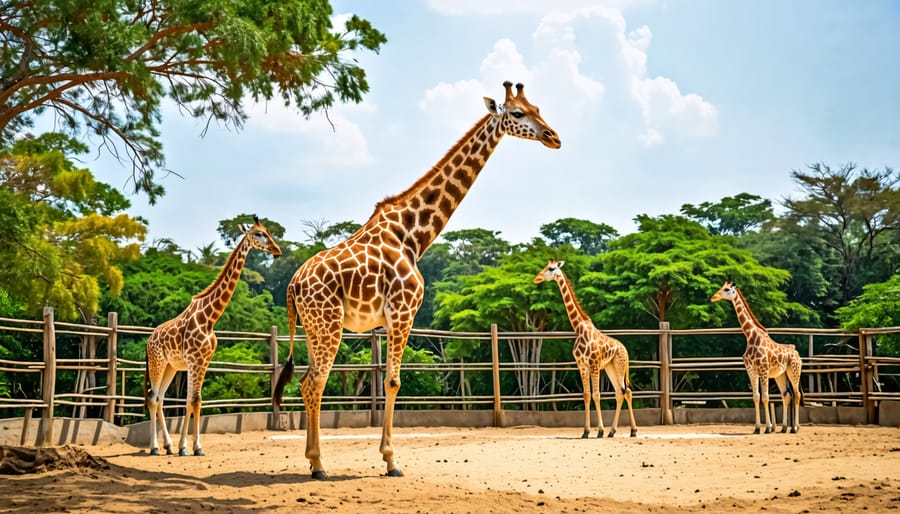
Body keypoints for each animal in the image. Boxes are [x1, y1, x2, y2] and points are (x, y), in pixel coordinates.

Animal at [145, 214, 282, 454]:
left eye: (269, 232)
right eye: (259, 234)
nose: (277, 250)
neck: (210, 318)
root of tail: (149, 340)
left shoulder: (203, 361)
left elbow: (194, 400)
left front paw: (191, 447)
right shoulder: (193, 360)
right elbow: (192, 400)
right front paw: (188, 447)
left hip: (171, 366)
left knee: (160, 398)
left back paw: (168, 446)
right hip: (157, 362)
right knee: (153, 398)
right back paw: (154, 448)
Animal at [270, 80, 560, 476]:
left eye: (538, 108)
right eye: (517, 113)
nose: (553, 137)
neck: (413, 235)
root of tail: (293, 284)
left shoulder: (396, 316)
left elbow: (390, 381)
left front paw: (388, 456)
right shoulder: (403, 312)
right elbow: (393, 381)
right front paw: (391, 460)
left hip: (315, 328)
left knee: (305, 382)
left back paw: (314, 460)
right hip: (328, 325)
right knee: (315, 383)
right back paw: (318, 466)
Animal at [536, 260, 640, 436]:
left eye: (551, 268)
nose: (537, 278)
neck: (578, 327)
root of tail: (625, 349)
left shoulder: (594, 364)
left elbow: (596, 394)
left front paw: (600, 431)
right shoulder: (582, 365)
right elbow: (586, 395)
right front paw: (586, 432)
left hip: (619, 365)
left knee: (626, 392)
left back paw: (632, 431)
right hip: (610, 367)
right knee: (620, 393)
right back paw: (613, 431)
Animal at [712, 280, 800, 432]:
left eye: (727, 289)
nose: (713, 297)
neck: (750, 336)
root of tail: (797, 354)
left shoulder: (763, 369)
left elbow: (765, 397)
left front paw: (768, 428)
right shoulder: (751, 370)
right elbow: (756, 397)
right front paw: (758, 428)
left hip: (794, 371)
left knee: (797, 395)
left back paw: (795, 428)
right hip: (780, 375)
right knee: (786, 395)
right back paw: (784, 428)